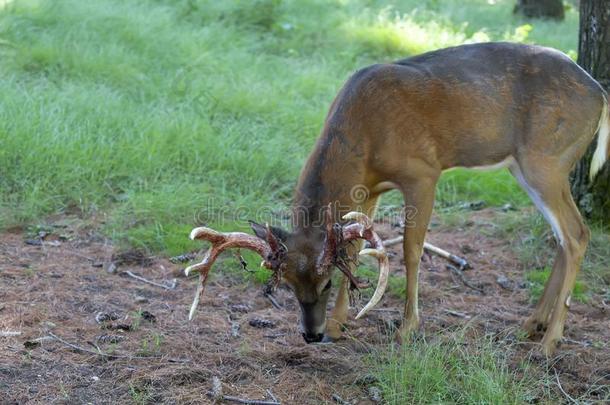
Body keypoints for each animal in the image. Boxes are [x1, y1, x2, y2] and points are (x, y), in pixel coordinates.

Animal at [183, 42, 604, 356]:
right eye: (286, 285)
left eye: (324, 283)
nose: (311, 334)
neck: (363, 136)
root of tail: (601, 92)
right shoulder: (367, 189)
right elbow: (354, 251)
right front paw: (339, 325)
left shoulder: (423, 172)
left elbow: (410, 250)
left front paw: (407, 329)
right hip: (529, 166)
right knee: (563, 236)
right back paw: (532, 325)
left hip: (546, 160)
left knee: (577, 234)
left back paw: (550, 343)